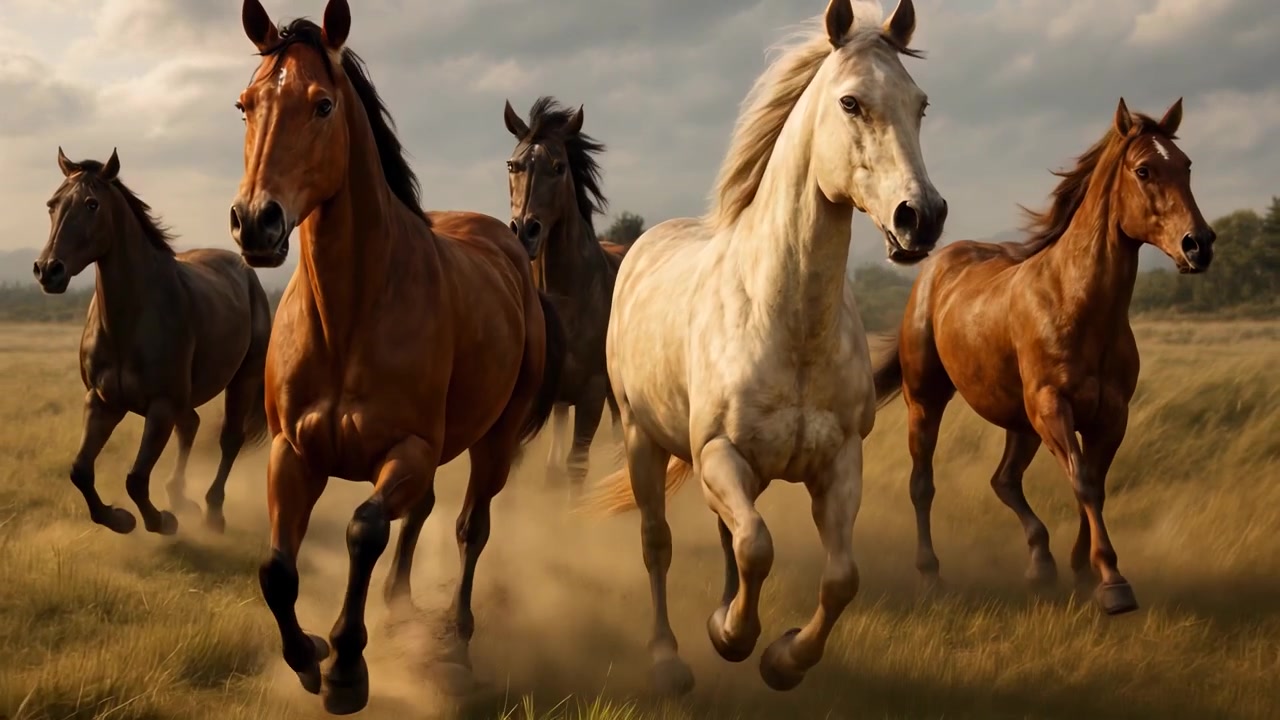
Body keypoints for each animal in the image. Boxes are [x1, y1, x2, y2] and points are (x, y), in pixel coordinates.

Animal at [33, 148, 271, 536]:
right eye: (52, 204)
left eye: (92, 204)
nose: (48, 270)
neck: (128, 323)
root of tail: (245, 271)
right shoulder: (102, 402)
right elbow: (80, 471)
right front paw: (120, 519)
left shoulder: (160, 407)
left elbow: (136, 478)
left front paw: (161, 521)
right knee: (191, 425)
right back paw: (180, 496)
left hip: (243, 380)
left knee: (229, 439)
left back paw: (212, 513)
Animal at [230, 1, 564, 713]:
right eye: (245, 105)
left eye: (323, 104)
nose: (256, 223)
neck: (350, 317)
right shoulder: (292, 452)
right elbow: (276, 568)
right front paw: (308, 656)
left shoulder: (405, 451)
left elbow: (364, 531)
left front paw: (346, 668)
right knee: (425, 514)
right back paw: (399, 608)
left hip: (493, 443)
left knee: (469, 527)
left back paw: (457, 638)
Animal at [582, 0, 945, 694]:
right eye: (851, 102)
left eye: (920, 104)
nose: (922, 217)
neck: (788, 323)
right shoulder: (719, 452)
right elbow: (757, 546)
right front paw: (733, 637)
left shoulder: (840, 462)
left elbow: (838, 577)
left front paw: (779, 659)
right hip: (644, 439)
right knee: (658, 542)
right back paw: (669, 659)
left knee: (726, 536)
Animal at [870, 98, 1214, 616]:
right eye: (1144, 170)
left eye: (1187, 165)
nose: (1200, 244)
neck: (1075, 303)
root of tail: (935, 268)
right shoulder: (1053, 406)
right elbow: (1083, 482)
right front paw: (1113, 583)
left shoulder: (1110, 415)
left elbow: (1093, 484)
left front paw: (1081, 569)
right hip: (928, 401)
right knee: (923, 483)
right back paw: (931, 575)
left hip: (1019, 421)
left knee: (1005, 480)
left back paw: (1040, 563)